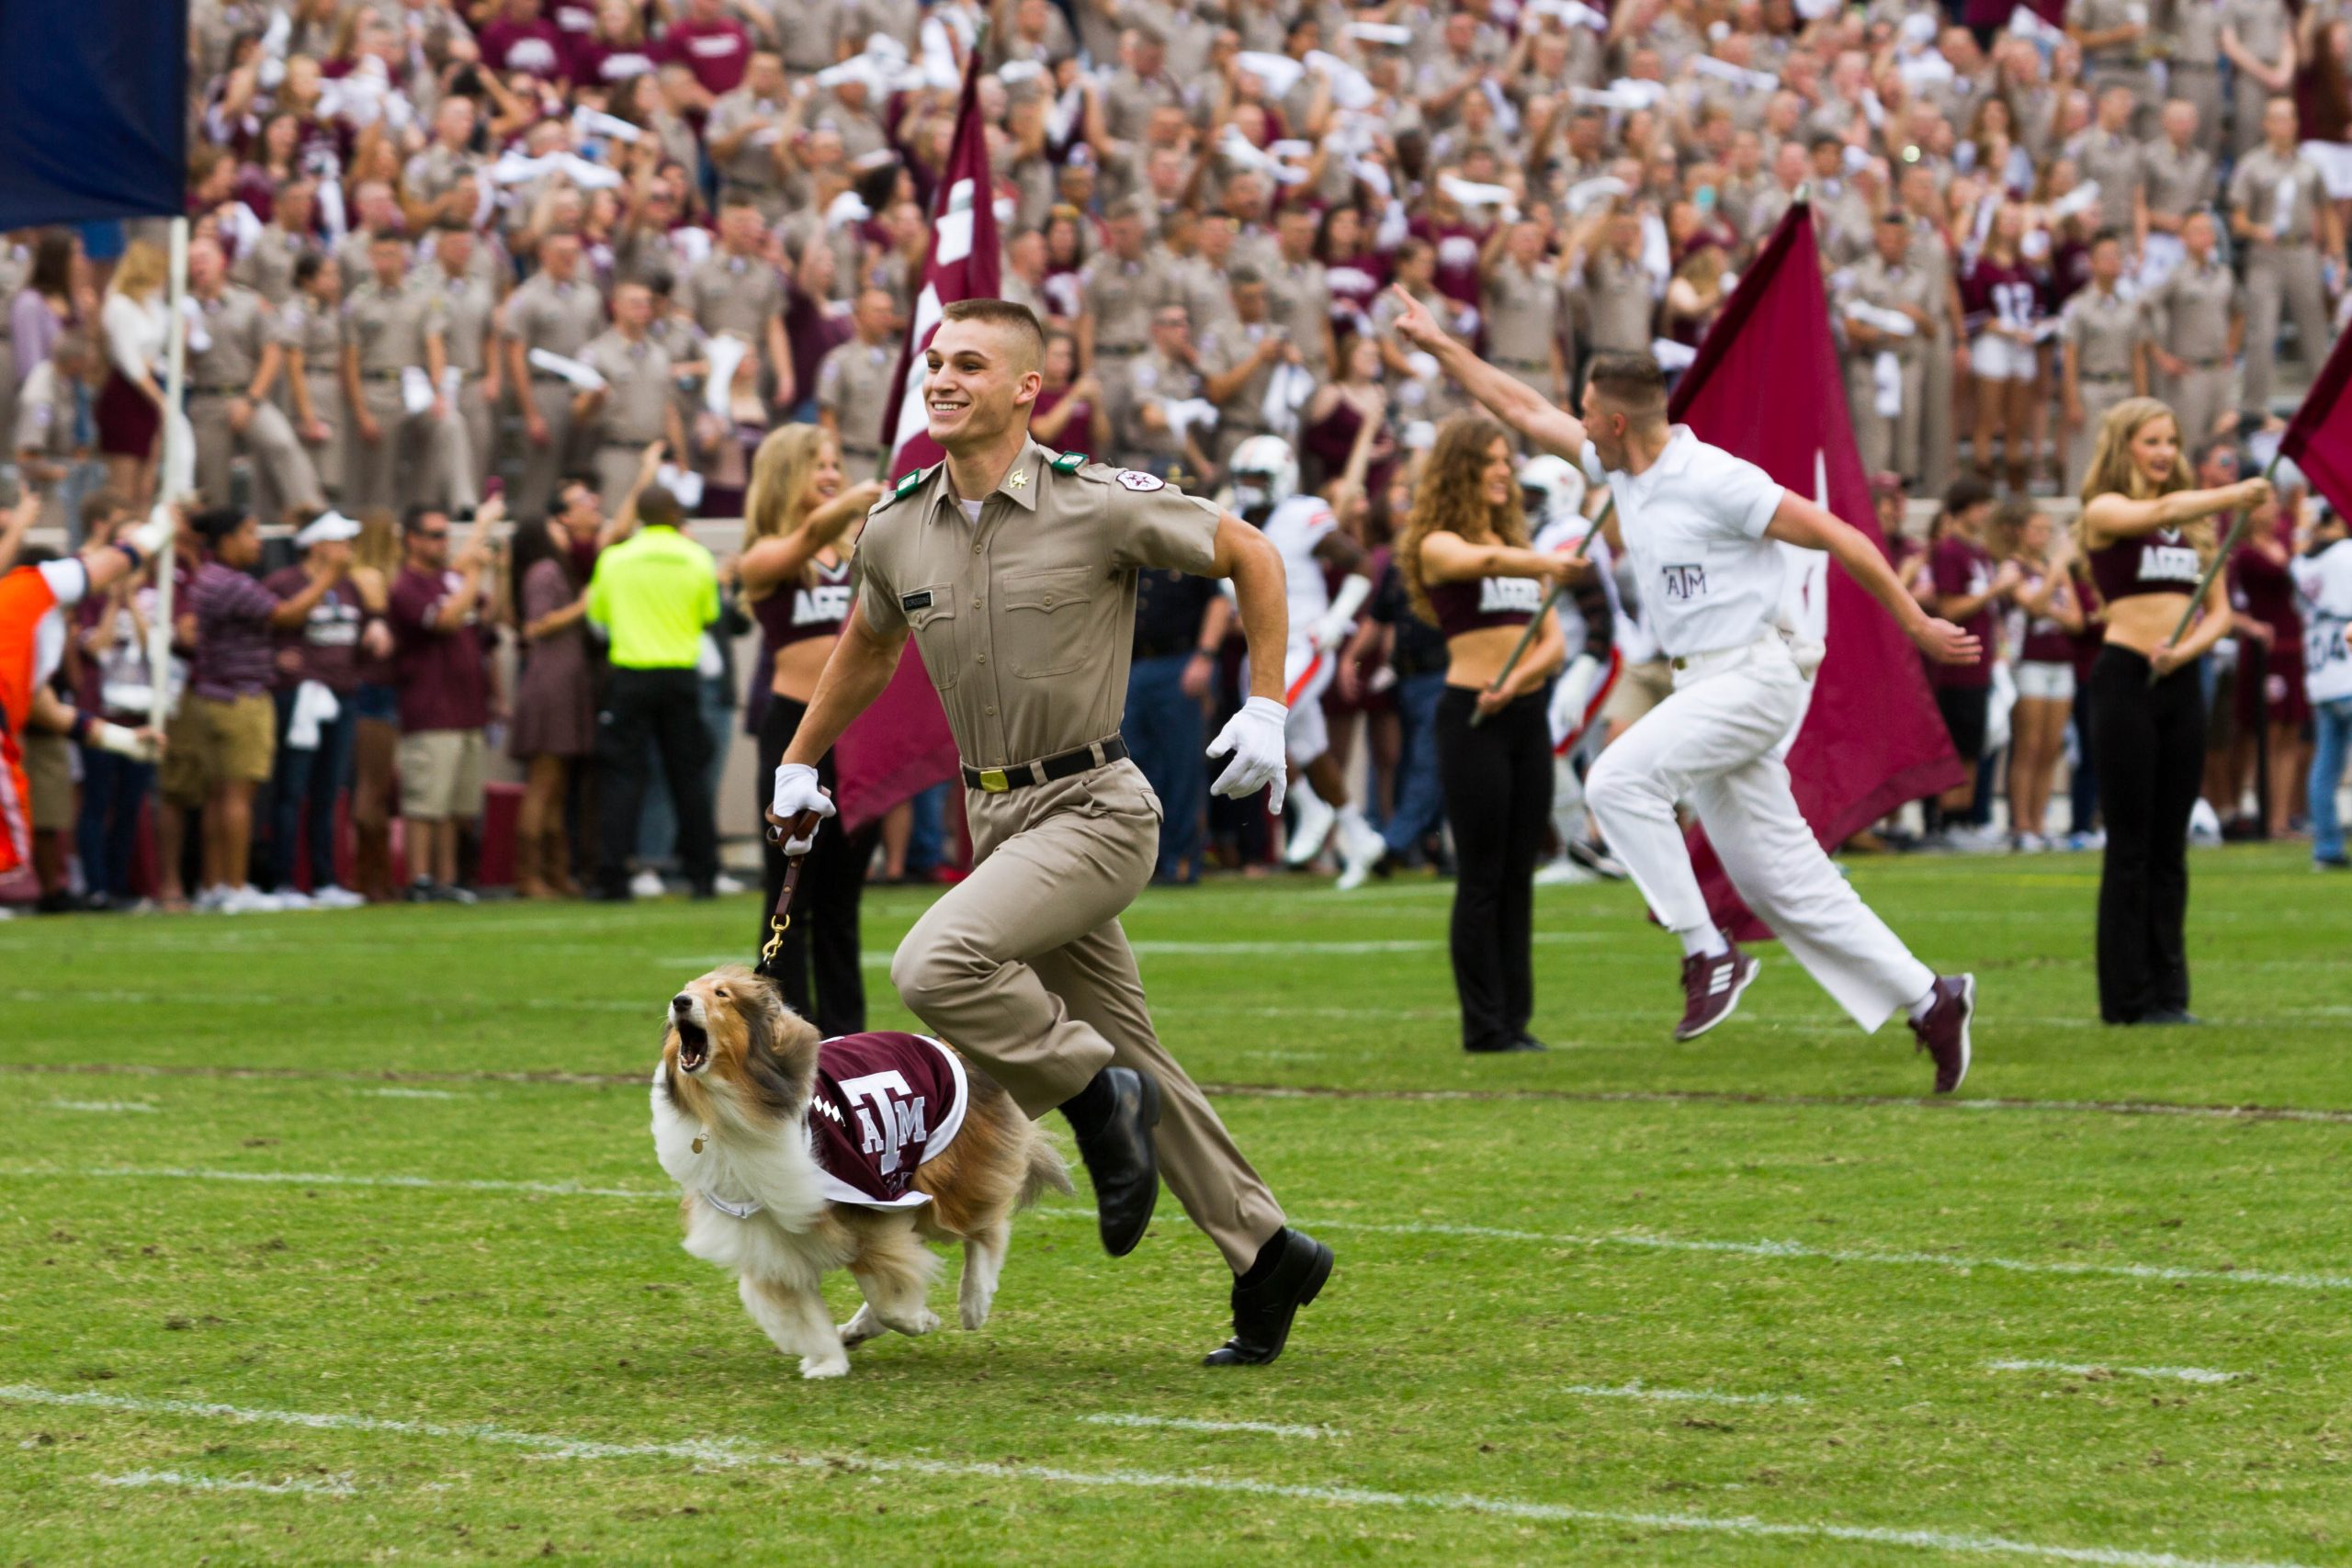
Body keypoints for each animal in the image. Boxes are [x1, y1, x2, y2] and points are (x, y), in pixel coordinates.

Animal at [653, 964, 1077, 1382]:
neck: (731, 1109)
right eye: (687, 987)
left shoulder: (867, 1207)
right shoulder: (769, 1234)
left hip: (945, 1176)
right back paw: (856, 1330)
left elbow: (890, 1293)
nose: (679, 1001)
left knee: (988, 1226)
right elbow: (807, 1311)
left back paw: (974, 1300)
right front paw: (829, 1362)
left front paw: (918, 1320)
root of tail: (949, 1046)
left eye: (721, 994)